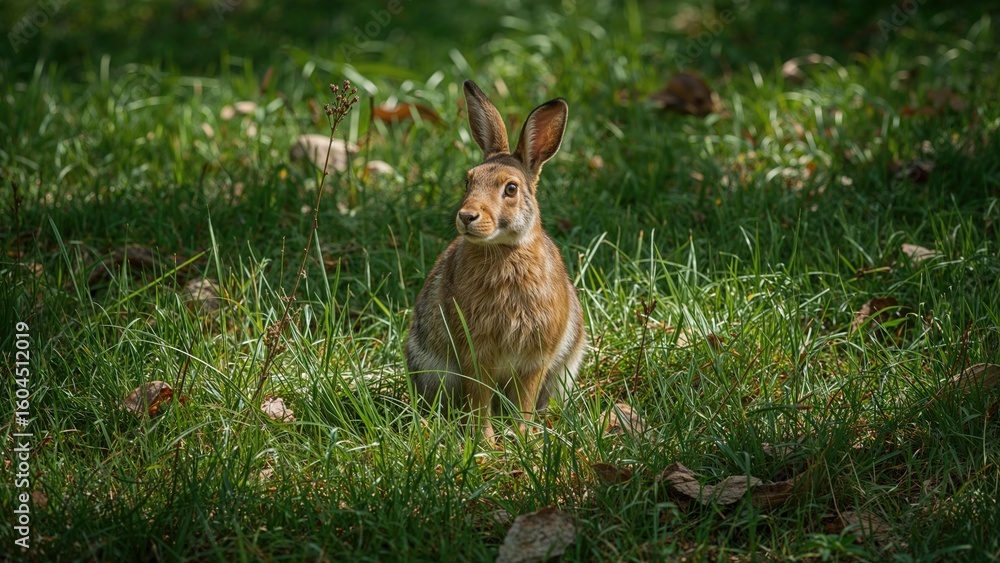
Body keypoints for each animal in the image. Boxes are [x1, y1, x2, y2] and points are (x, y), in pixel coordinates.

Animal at [406, 80, 587, 442]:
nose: (467, 216)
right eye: (468, 181)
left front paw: (523, 439)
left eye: (511, 189)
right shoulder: (475, 354)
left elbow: (524, 401)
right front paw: (485, 442)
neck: (504, 251)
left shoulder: (534, 359)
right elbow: (479, 400)